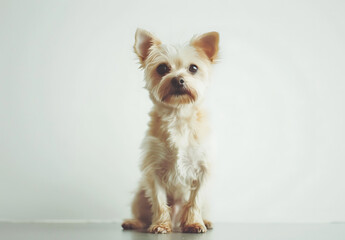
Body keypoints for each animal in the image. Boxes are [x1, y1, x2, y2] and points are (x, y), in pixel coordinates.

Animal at [121, 29, 218, 233]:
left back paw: (204, 221)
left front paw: (194, 223)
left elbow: (194, 201)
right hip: (140, 195)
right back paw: (135, 222)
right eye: (162, 68)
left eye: (193, 68)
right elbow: (159, 202)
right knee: (143, 213)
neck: (178, 115)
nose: (178, 79)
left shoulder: (202, 170)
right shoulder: (154, 171)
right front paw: (160, 225)